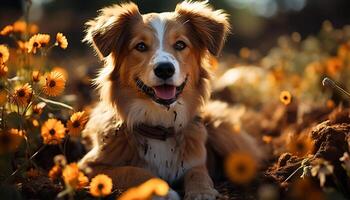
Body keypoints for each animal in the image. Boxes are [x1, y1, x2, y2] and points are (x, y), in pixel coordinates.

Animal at [78, 1, 262, 198]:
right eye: (140, 46)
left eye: (180, 44)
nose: (165, 69)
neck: (160, 124)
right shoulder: (88, 167)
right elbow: (134, 171)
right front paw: (162, 191)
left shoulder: (196, 161)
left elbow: (198, 173)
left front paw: (202, 191)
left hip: (222, 129)